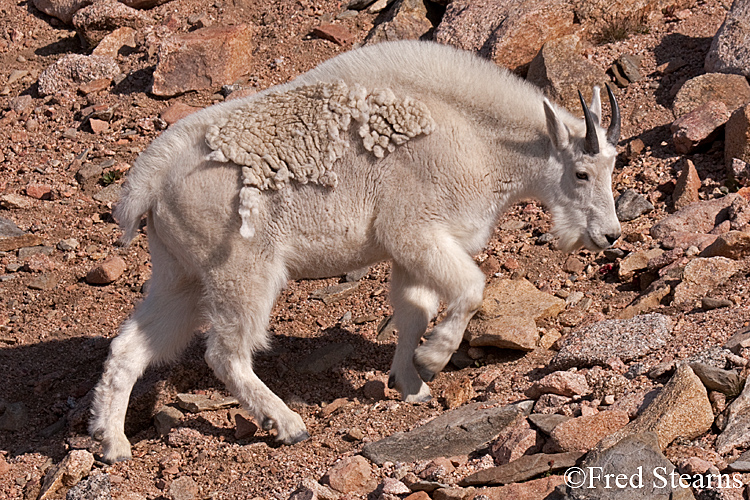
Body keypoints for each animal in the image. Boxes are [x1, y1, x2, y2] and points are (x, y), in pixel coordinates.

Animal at [91, 39, 624, 460]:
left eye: (613, 167)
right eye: (581, 173)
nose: (611, 236)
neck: (479, 140)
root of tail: (150, 179)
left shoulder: (411, 250)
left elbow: (413, 311)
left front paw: (412, 385)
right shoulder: (414, 231)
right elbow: (471, 288)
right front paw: (433, 360)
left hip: (179, 273)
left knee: (130, 349)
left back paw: (112, 442)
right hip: (240, 270)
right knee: (226, 352)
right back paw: (288, 424)